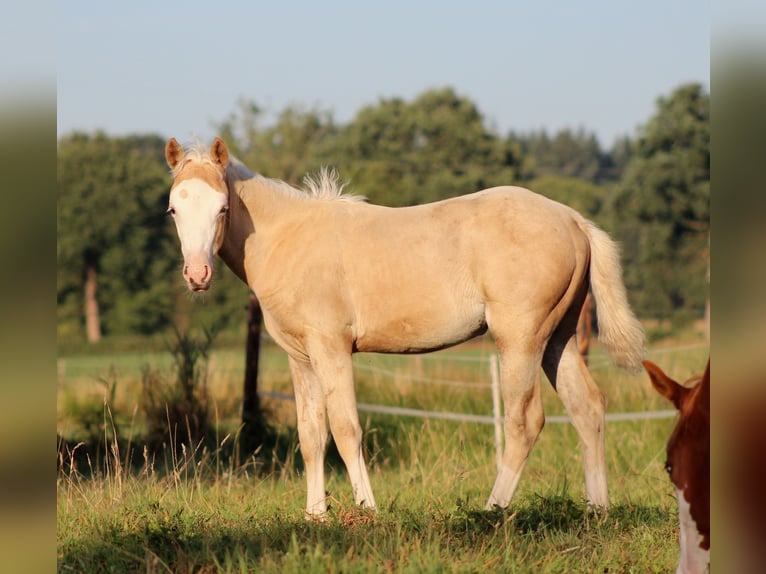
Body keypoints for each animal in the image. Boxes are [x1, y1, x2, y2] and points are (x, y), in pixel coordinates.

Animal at [164, 136, 646, 519]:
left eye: (223, 207)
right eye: (173, 209)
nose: (197, 275)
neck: (290, 238)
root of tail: (574, 221)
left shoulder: (332, 348)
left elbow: (346, 429)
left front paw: (367, 510)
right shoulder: (301, 358)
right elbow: (311, 436)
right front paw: (314, 516)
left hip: (520, 339)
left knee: (524, 421)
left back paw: (490, 511)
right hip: (557, 338)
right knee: (588, 407)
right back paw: (597, 511)